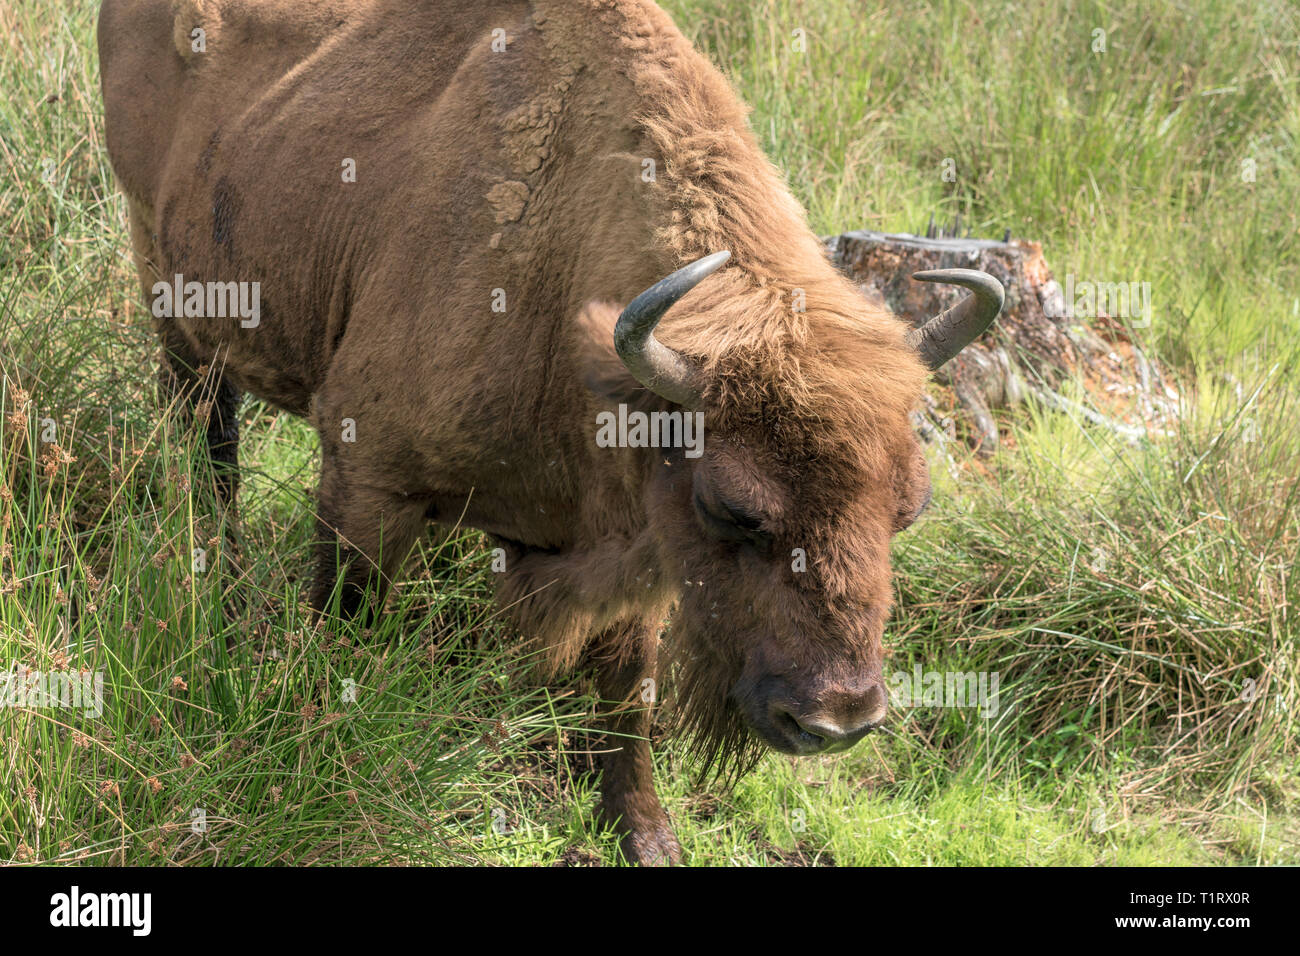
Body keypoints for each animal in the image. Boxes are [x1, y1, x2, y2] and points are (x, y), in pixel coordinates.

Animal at [98, 0, 1003, 868]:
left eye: (909, 510)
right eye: (731, 507)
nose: (836, 721)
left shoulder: (638, 542)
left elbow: (627, 690)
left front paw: (646, 835)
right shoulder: (368, 478)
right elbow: (344, 628)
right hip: (173, 306)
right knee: (210, 454)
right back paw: (217, 585)